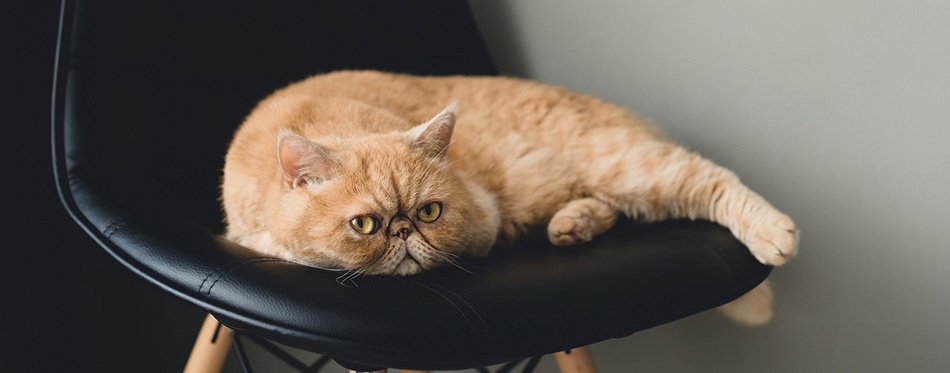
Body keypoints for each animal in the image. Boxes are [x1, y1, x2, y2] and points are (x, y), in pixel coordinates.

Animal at [221, 70, 796, 322]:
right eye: (364, 225)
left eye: (430, 213)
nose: (404, 231)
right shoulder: (246, 232)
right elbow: (279, 246)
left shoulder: (485, 220)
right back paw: (574, 224)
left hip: (627, 165)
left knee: (711, 179)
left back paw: (775, 233)